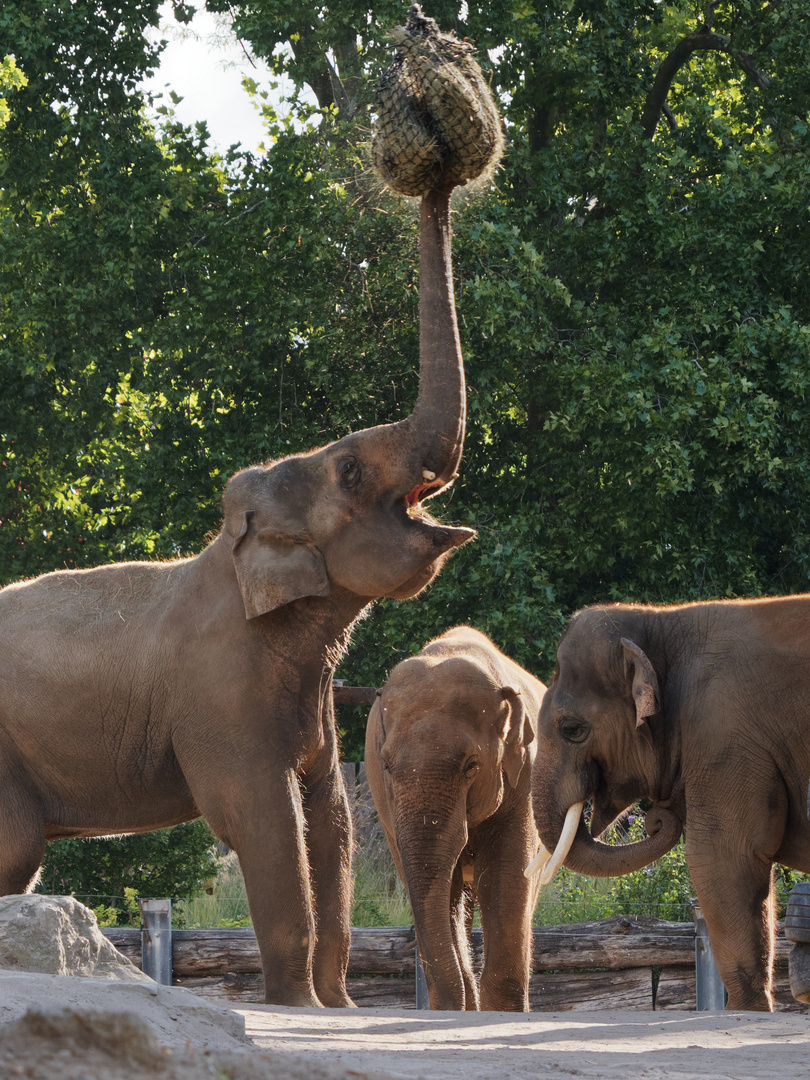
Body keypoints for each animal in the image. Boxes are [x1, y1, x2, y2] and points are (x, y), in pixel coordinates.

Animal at [527, 600, 810, 1010]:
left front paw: (746, 1012)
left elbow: (722, 859)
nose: (655, 819)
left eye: (572, 729)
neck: (661, 621)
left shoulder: (722, 741)